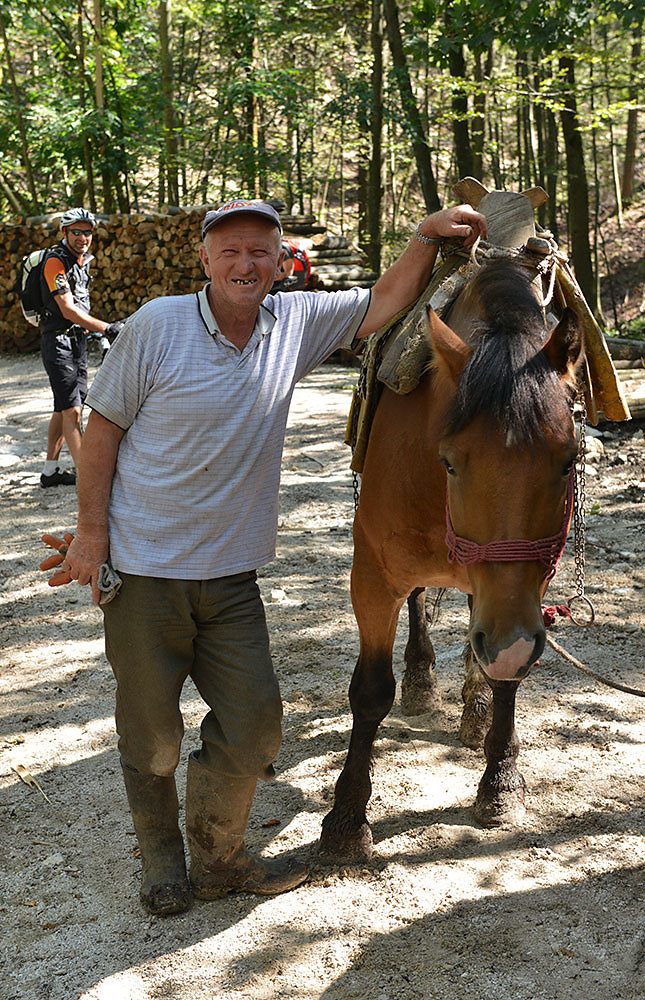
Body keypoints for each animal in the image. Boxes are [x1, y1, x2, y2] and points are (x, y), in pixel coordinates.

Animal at [318, 252, 584, 860]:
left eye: (567, 460)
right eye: (451, 463)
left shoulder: (520, 597)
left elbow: (506, 673)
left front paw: (500, 780)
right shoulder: (372, 576)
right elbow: (370, 692)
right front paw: (346, 819)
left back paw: (474, 708)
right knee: (423, 605)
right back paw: (421, 678)